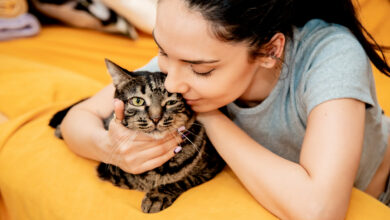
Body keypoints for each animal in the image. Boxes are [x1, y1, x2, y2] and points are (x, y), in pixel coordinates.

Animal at [49, 58, 225, 213]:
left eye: (171, 102)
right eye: (138, 101)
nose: (155, 118)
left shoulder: (211, 166)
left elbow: (182, 180)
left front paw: (156, 196)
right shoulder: (109, 170)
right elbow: (133, 179)